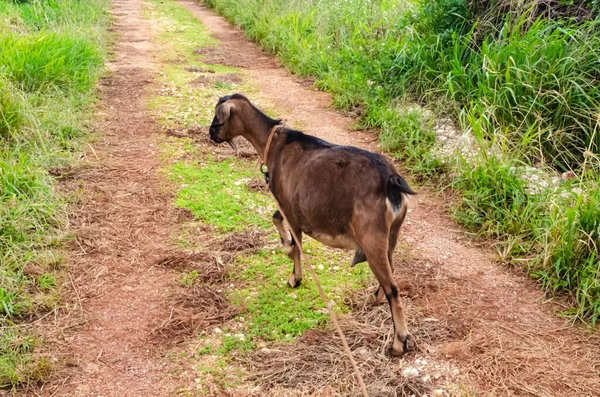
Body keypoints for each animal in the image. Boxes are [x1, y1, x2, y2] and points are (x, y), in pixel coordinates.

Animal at [209, 94, 414, 354]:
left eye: (218, 117)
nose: (210, 133)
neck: (274, 143)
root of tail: (390, 180)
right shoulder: (288, 207)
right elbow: (276, 218)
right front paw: (285, 247)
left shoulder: (290, 208)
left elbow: (296, 244)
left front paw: (294, 276)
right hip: (392, 235)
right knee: (391, 273)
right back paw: (376, 298)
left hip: (372, 239)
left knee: (393, 289)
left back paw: (399, 342)